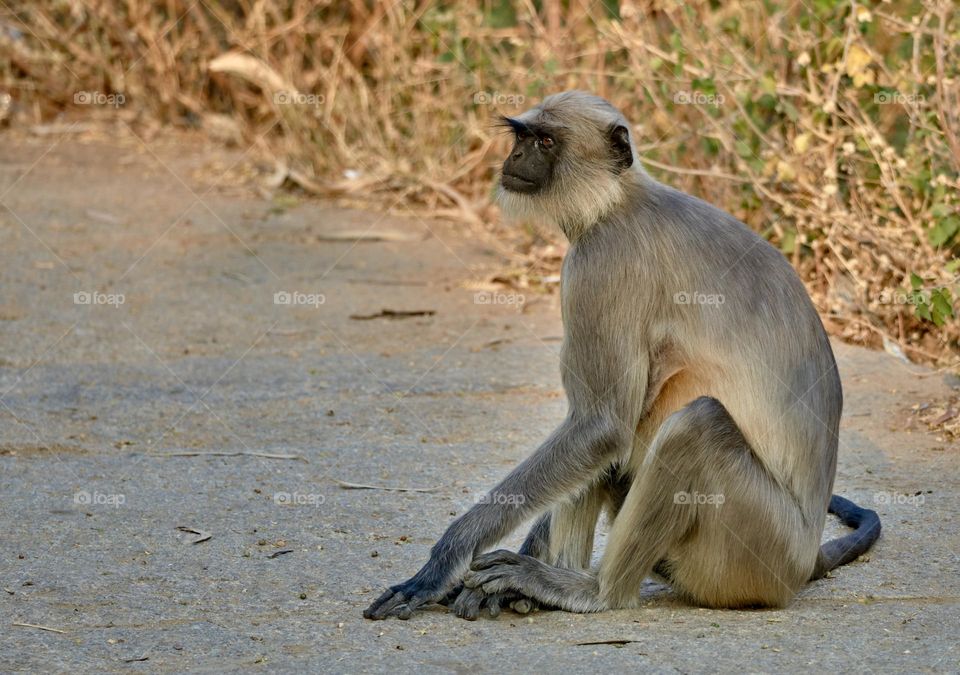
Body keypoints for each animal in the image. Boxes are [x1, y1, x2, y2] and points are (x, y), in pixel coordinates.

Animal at [364, 91, 880, 624]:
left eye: (545, 142)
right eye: (522, 138)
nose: (515, 157)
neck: (618, 201)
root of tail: (803, 559)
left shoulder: (600, 262)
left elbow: (601, 426)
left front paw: (445, 561)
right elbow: (604, 435)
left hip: (756, 550)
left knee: (692, 425)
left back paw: (591, 591)